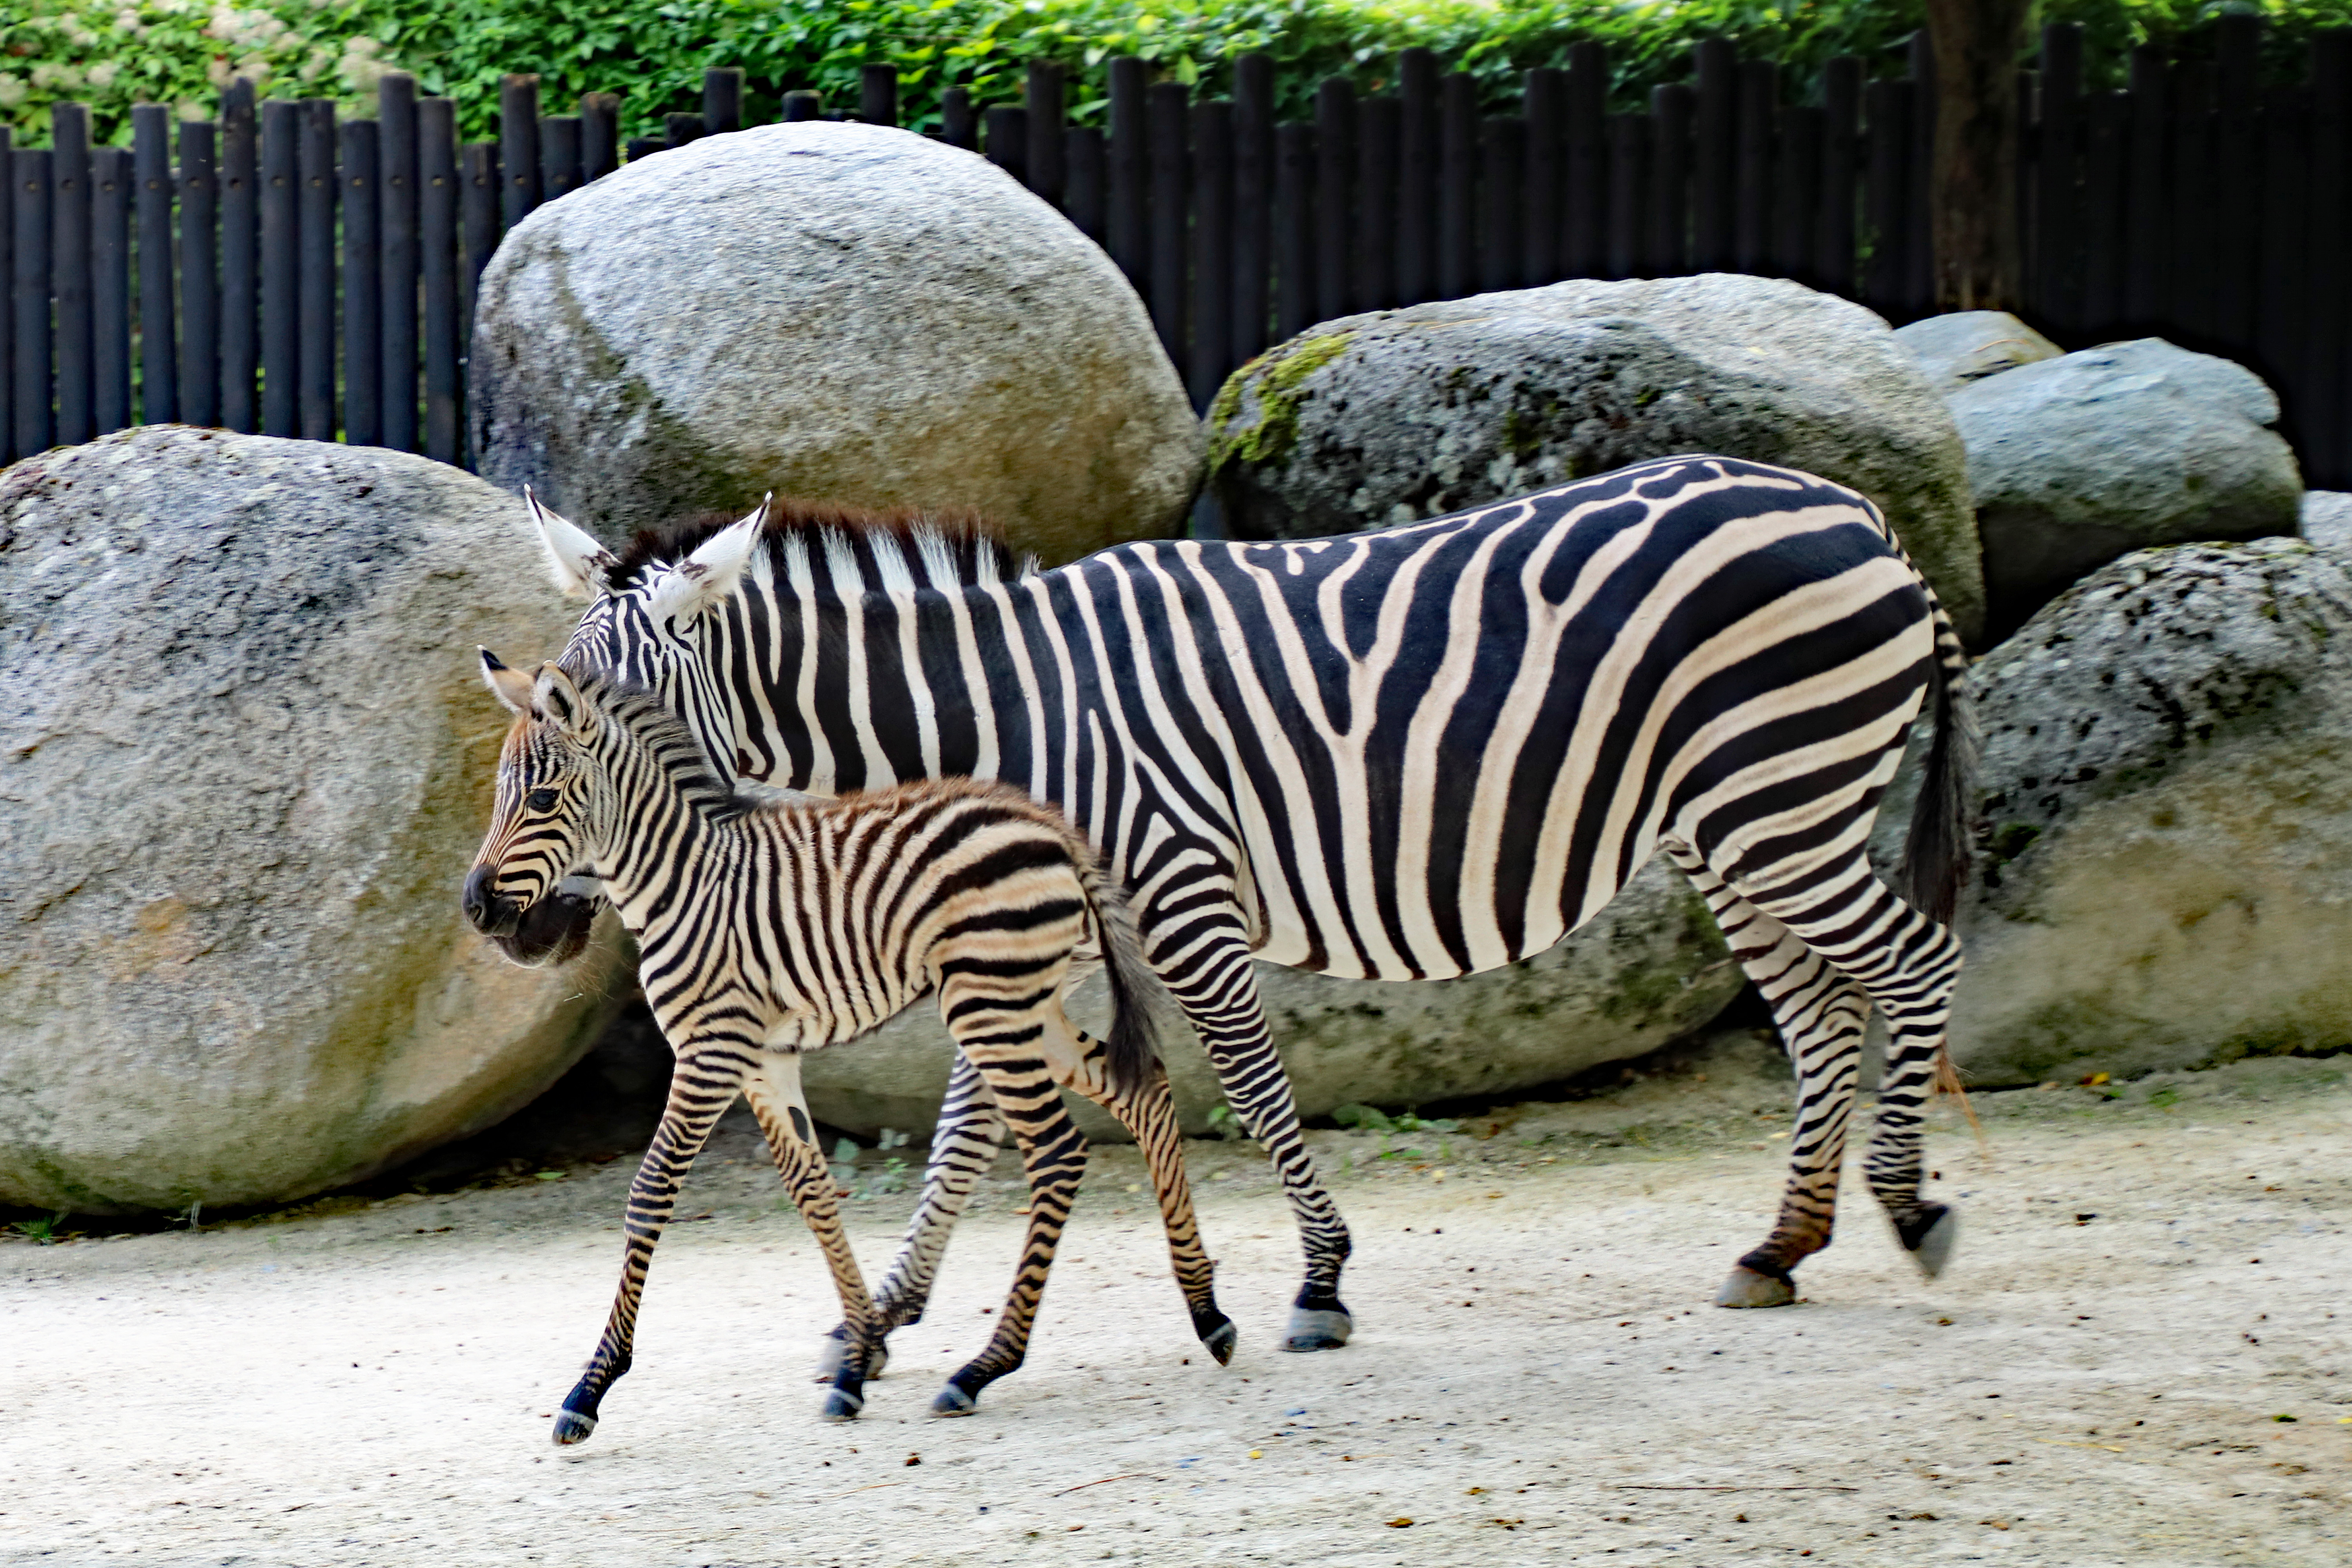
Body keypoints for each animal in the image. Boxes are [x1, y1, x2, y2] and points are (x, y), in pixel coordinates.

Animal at [459, 653, 1232, 1448]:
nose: (476, 907)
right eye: (501, 797)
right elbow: (814, 1195)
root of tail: (1050, 826)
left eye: (543, 798)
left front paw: (590, 1389)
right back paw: (1207, 1312)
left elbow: (650, 1193)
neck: (682, 886)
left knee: (1057, 1152)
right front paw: (856, 1365)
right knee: (1143, 1091)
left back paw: (984, 1368)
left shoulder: (711, 1051)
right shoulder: (765, 1059)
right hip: (1025, 1005)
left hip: (985, 1004)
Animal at [524, 456, 1976, 1354]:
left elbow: (1252, 1078)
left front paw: (1321, 1280)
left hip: (1780, 799)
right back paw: (1783, 1246)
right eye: (540, 711)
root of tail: (1862, 515)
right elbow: (966, 1126)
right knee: (1821, 1011)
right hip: (1737, 825)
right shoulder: (1028, 926)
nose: (525, 922)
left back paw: (1907, 1211)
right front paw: (889, 1309)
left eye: (614, 717)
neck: (1019, 710)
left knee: (1913, 965)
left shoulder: (1176, 889)